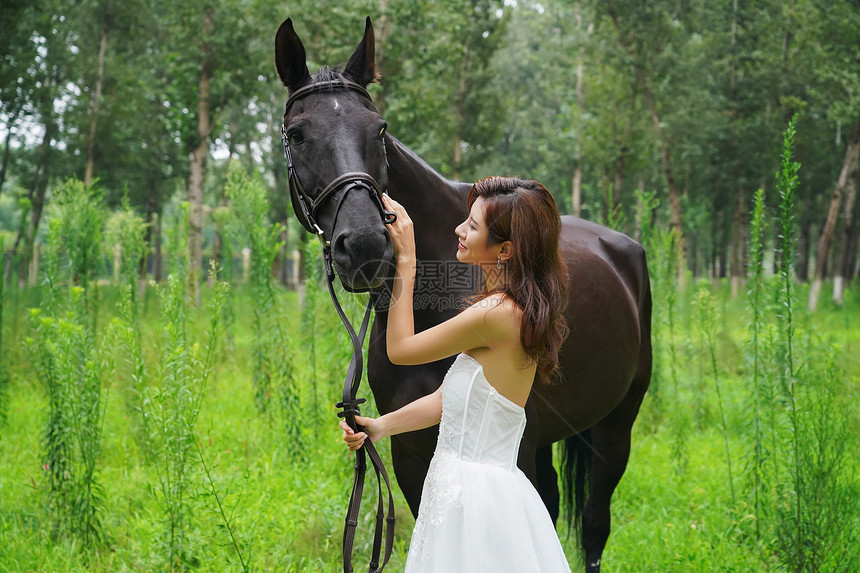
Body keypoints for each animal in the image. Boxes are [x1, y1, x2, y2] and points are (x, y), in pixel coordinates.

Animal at [276, 17, 652, 572]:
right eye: (298, 134)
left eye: (379, 129)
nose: (365, 246)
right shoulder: (412, 454)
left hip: (615, 425)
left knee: (593, 523)